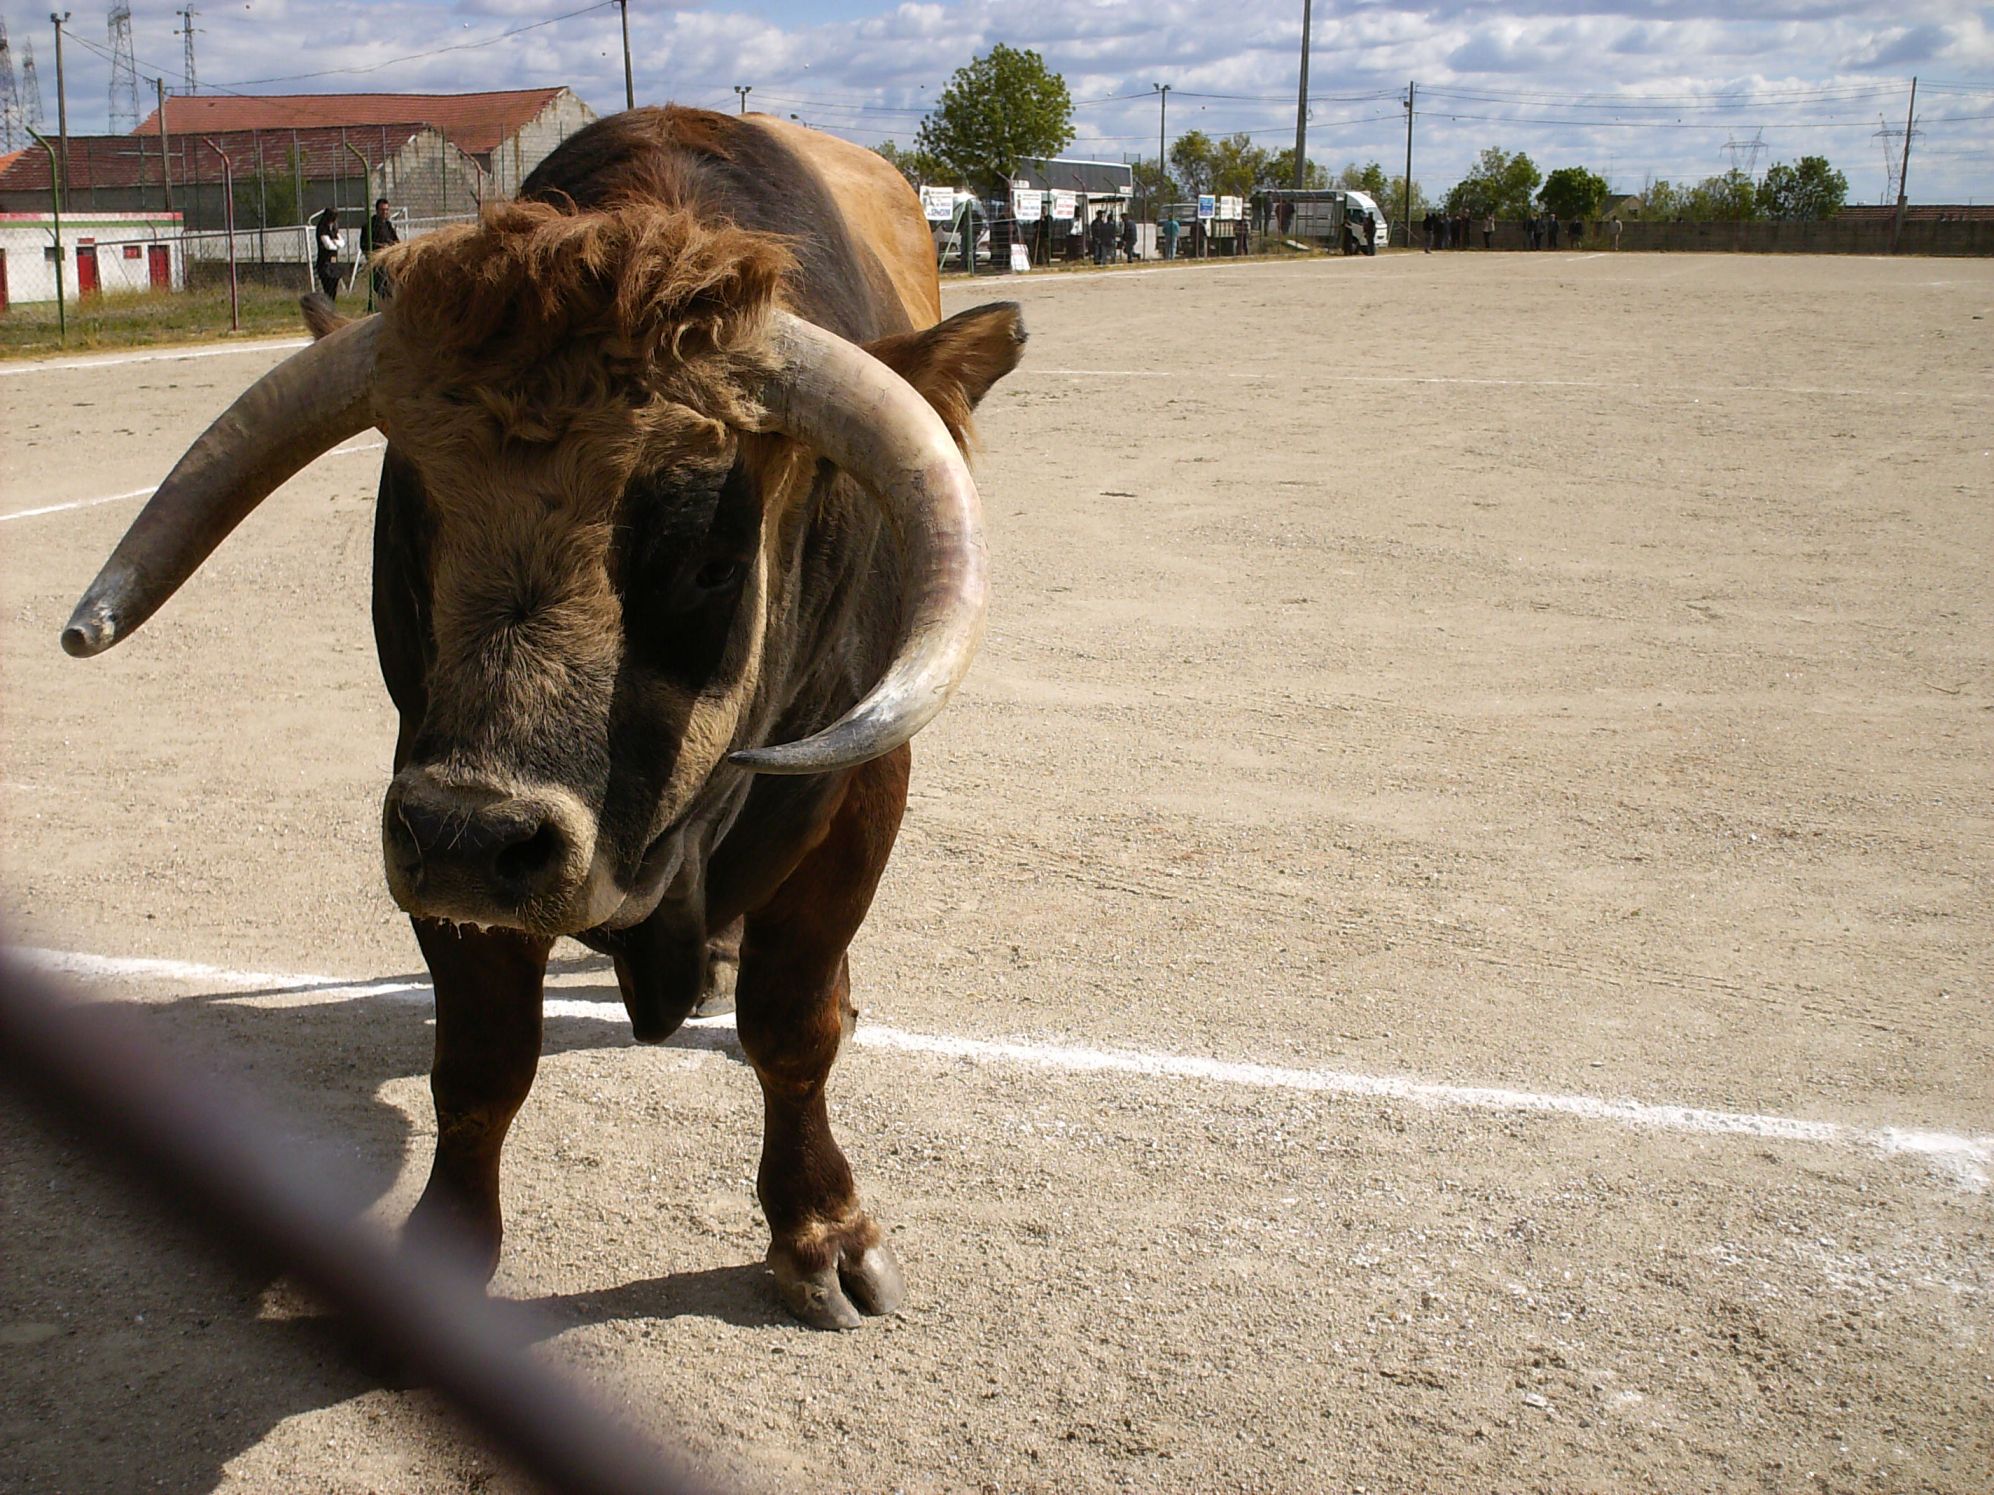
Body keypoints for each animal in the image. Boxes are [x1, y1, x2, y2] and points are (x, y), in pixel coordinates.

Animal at [60, 107, 1027, 1330]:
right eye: (414, 520)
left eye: (711, 556)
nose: (475, 835)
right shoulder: (426, 820)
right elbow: (480, 1059)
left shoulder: (858, 796)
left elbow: (792, 1025)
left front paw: (821, 1229)